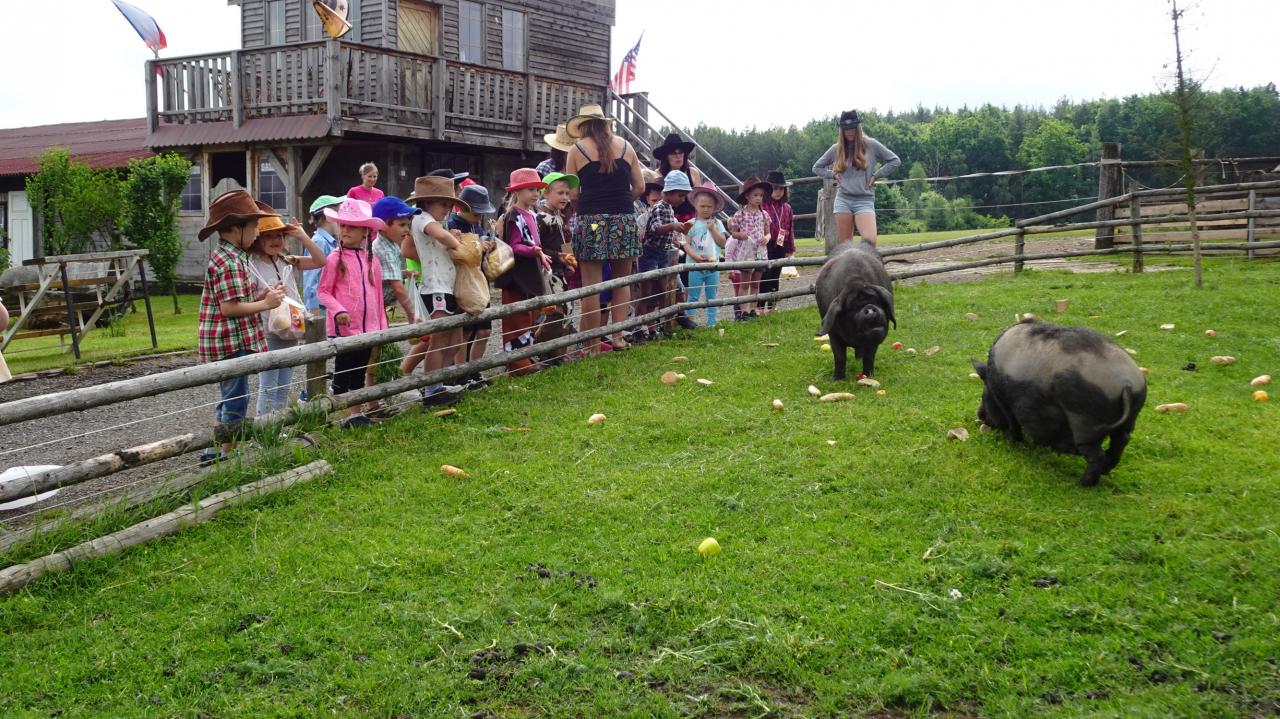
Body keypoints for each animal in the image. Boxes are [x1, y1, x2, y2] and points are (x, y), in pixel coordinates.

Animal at [814, 241, 895, 379]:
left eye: (877, 301)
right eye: (852, 308)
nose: (870, 308)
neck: (856, 283)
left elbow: (869, 357)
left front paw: (868, 376)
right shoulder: (833, 333)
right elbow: (839, 356)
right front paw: (836, 379)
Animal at [971, 319, 1147, 486]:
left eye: (984, 394)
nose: (980, 415)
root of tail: (1126, 384)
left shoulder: (1003, 400)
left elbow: (1013, 425)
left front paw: (1012, 444)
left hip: (1084, 422)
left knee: (1097, 454)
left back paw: (1080, 484)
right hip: (1129, 421)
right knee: (1121, 441)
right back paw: (1104, 471)